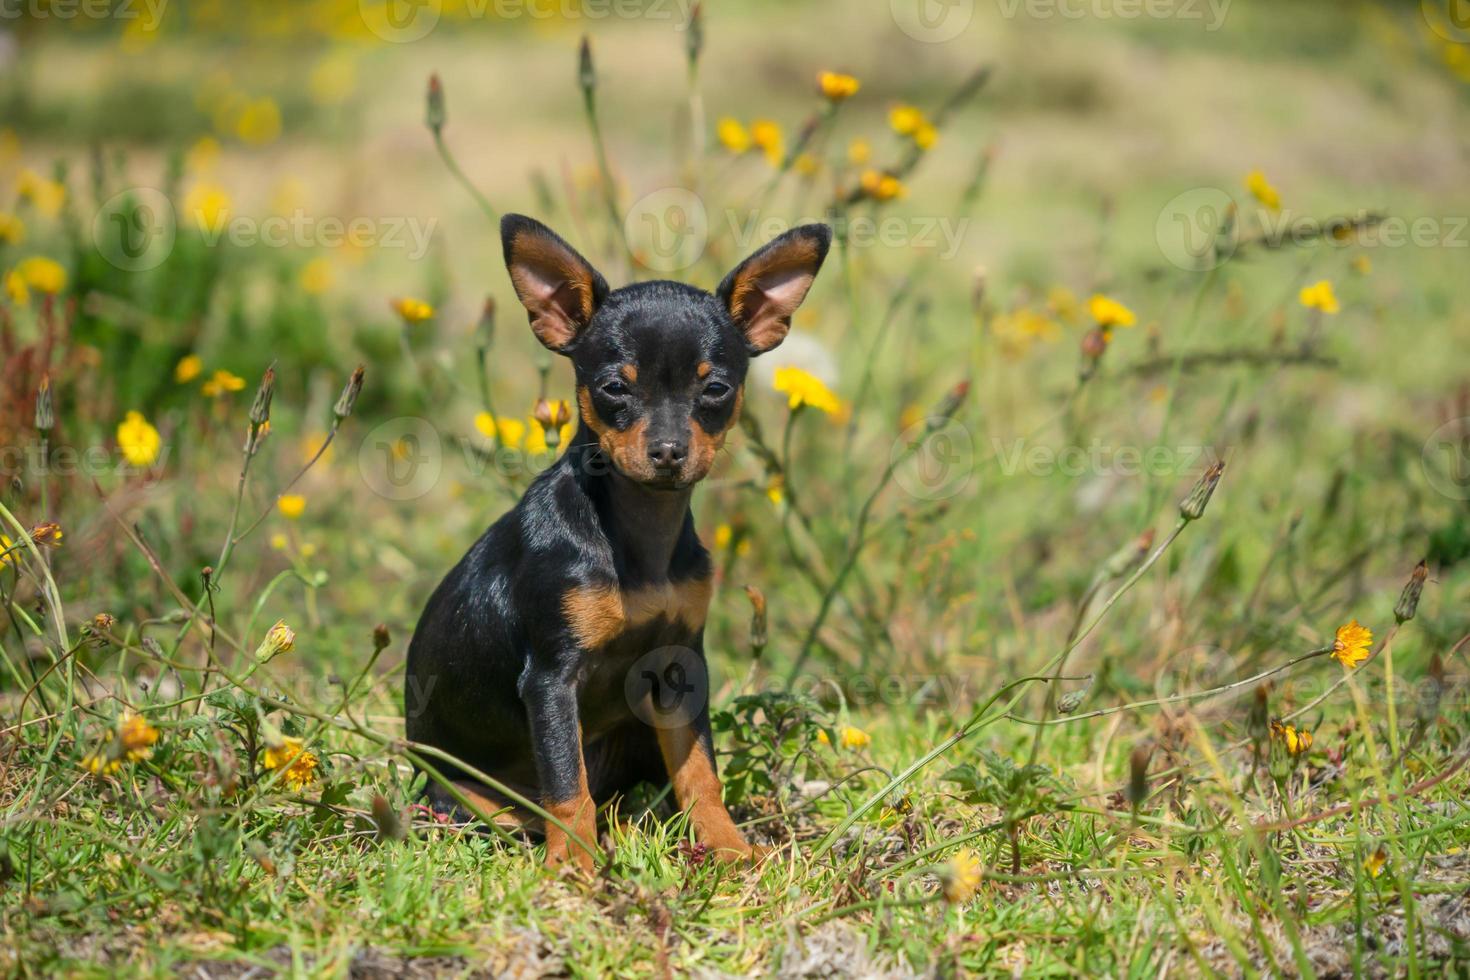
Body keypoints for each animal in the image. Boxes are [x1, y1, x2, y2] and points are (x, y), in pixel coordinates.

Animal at [408, 215, 834, 875]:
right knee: (525, 809)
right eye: (614, 388)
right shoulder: (551, 681)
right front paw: (574, 869)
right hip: (461, 794)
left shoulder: (679, 671)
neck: (640, 538)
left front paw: (731, 849)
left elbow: (700, 774)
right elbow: (566, 784)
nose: (668, 451)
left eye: (716, 389)